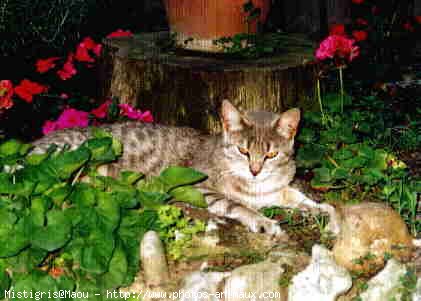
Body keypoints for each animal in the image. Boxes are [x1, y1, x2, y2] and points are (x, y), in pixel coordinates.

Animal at [33, 99, 342, 236]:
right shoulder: (199, 188)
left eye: (271, 154)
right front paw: (263, 221)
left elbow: (307, 199)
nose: (255, 170)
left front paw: (327, 213)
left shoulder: (277, 191)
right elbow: (236, 205)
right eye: (243, 151)